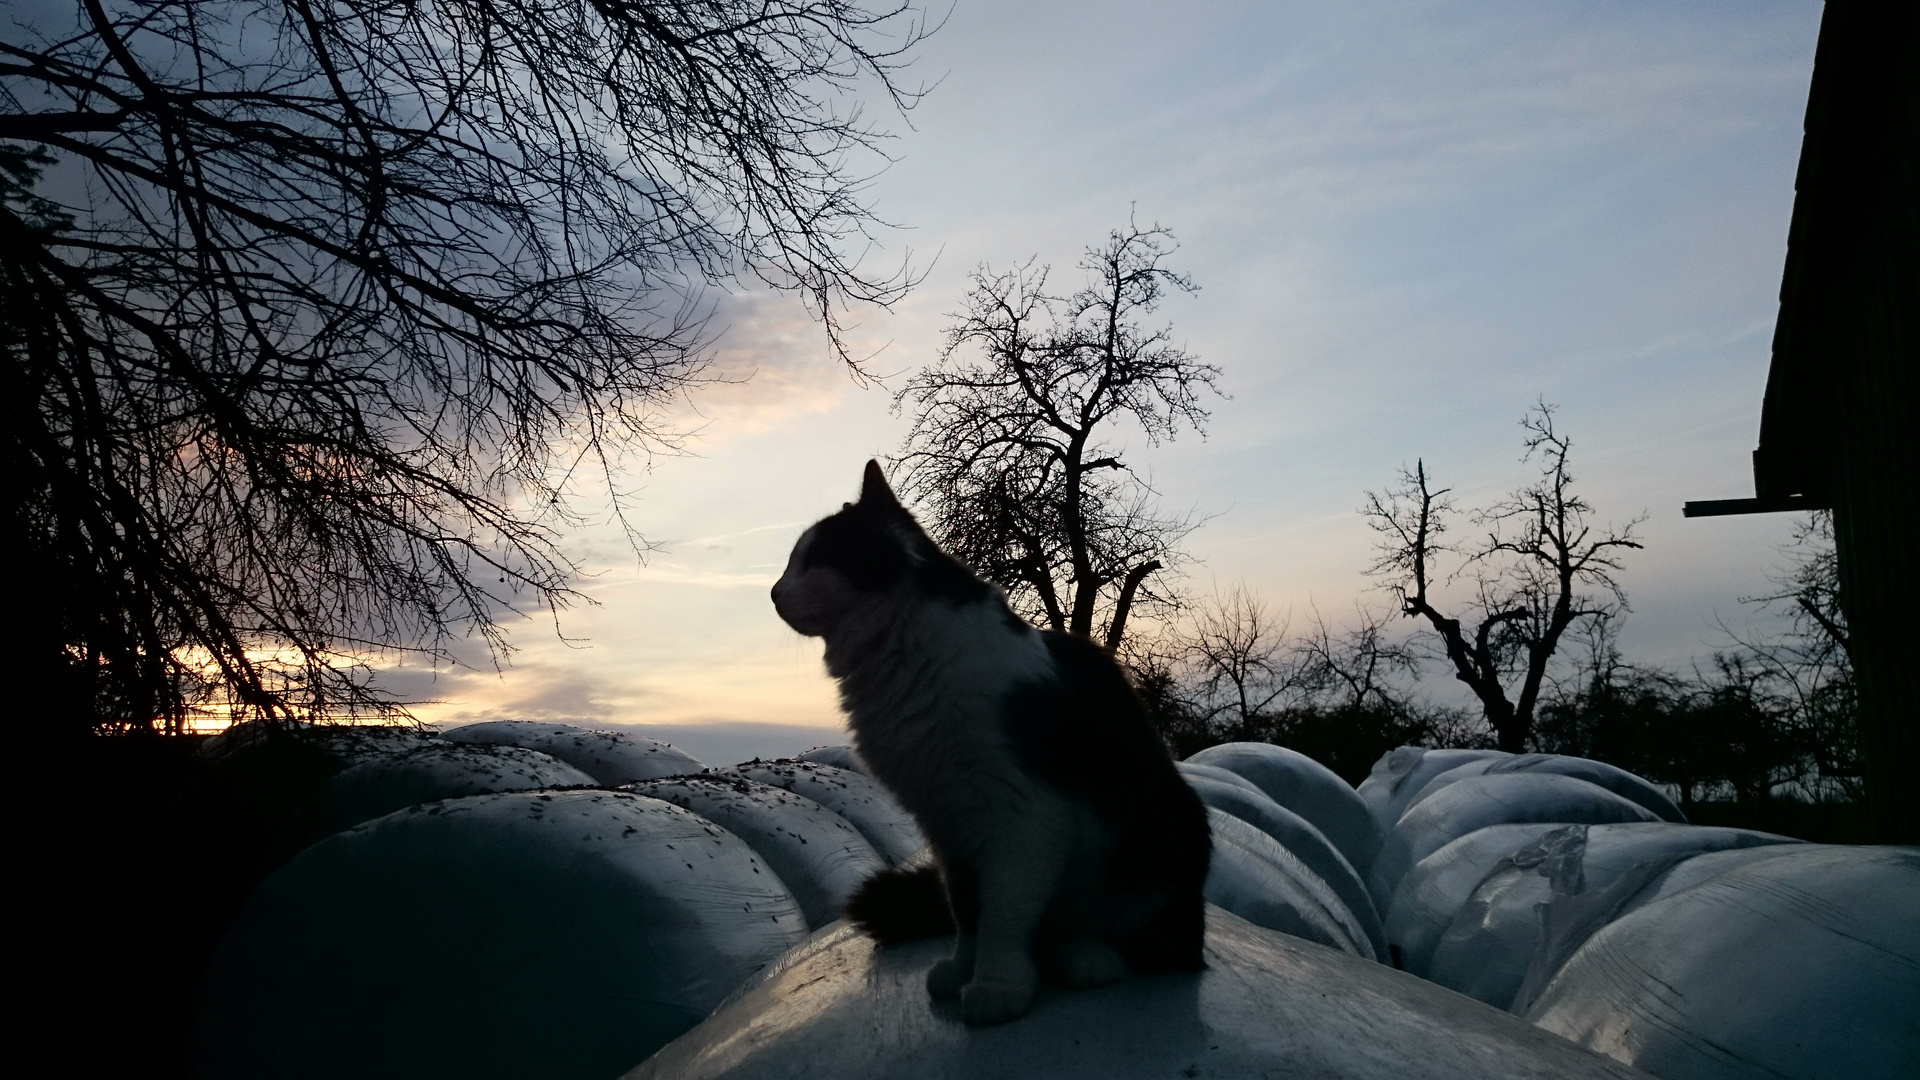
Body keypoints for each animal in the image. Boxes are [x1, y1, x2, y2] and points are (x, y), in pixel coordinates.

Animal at [771, 457, 1205, 1022]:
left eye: (811, 561)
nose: (773, 591)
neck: (906, 656)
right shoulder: (948, 823)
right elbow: (967, 912)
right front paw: (962, 971)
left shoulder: (1021, 812)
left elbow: (1001, 912)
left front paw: (997, 987)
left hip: (1168, 831)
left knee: (1169, 946)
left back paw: (1090, 956)